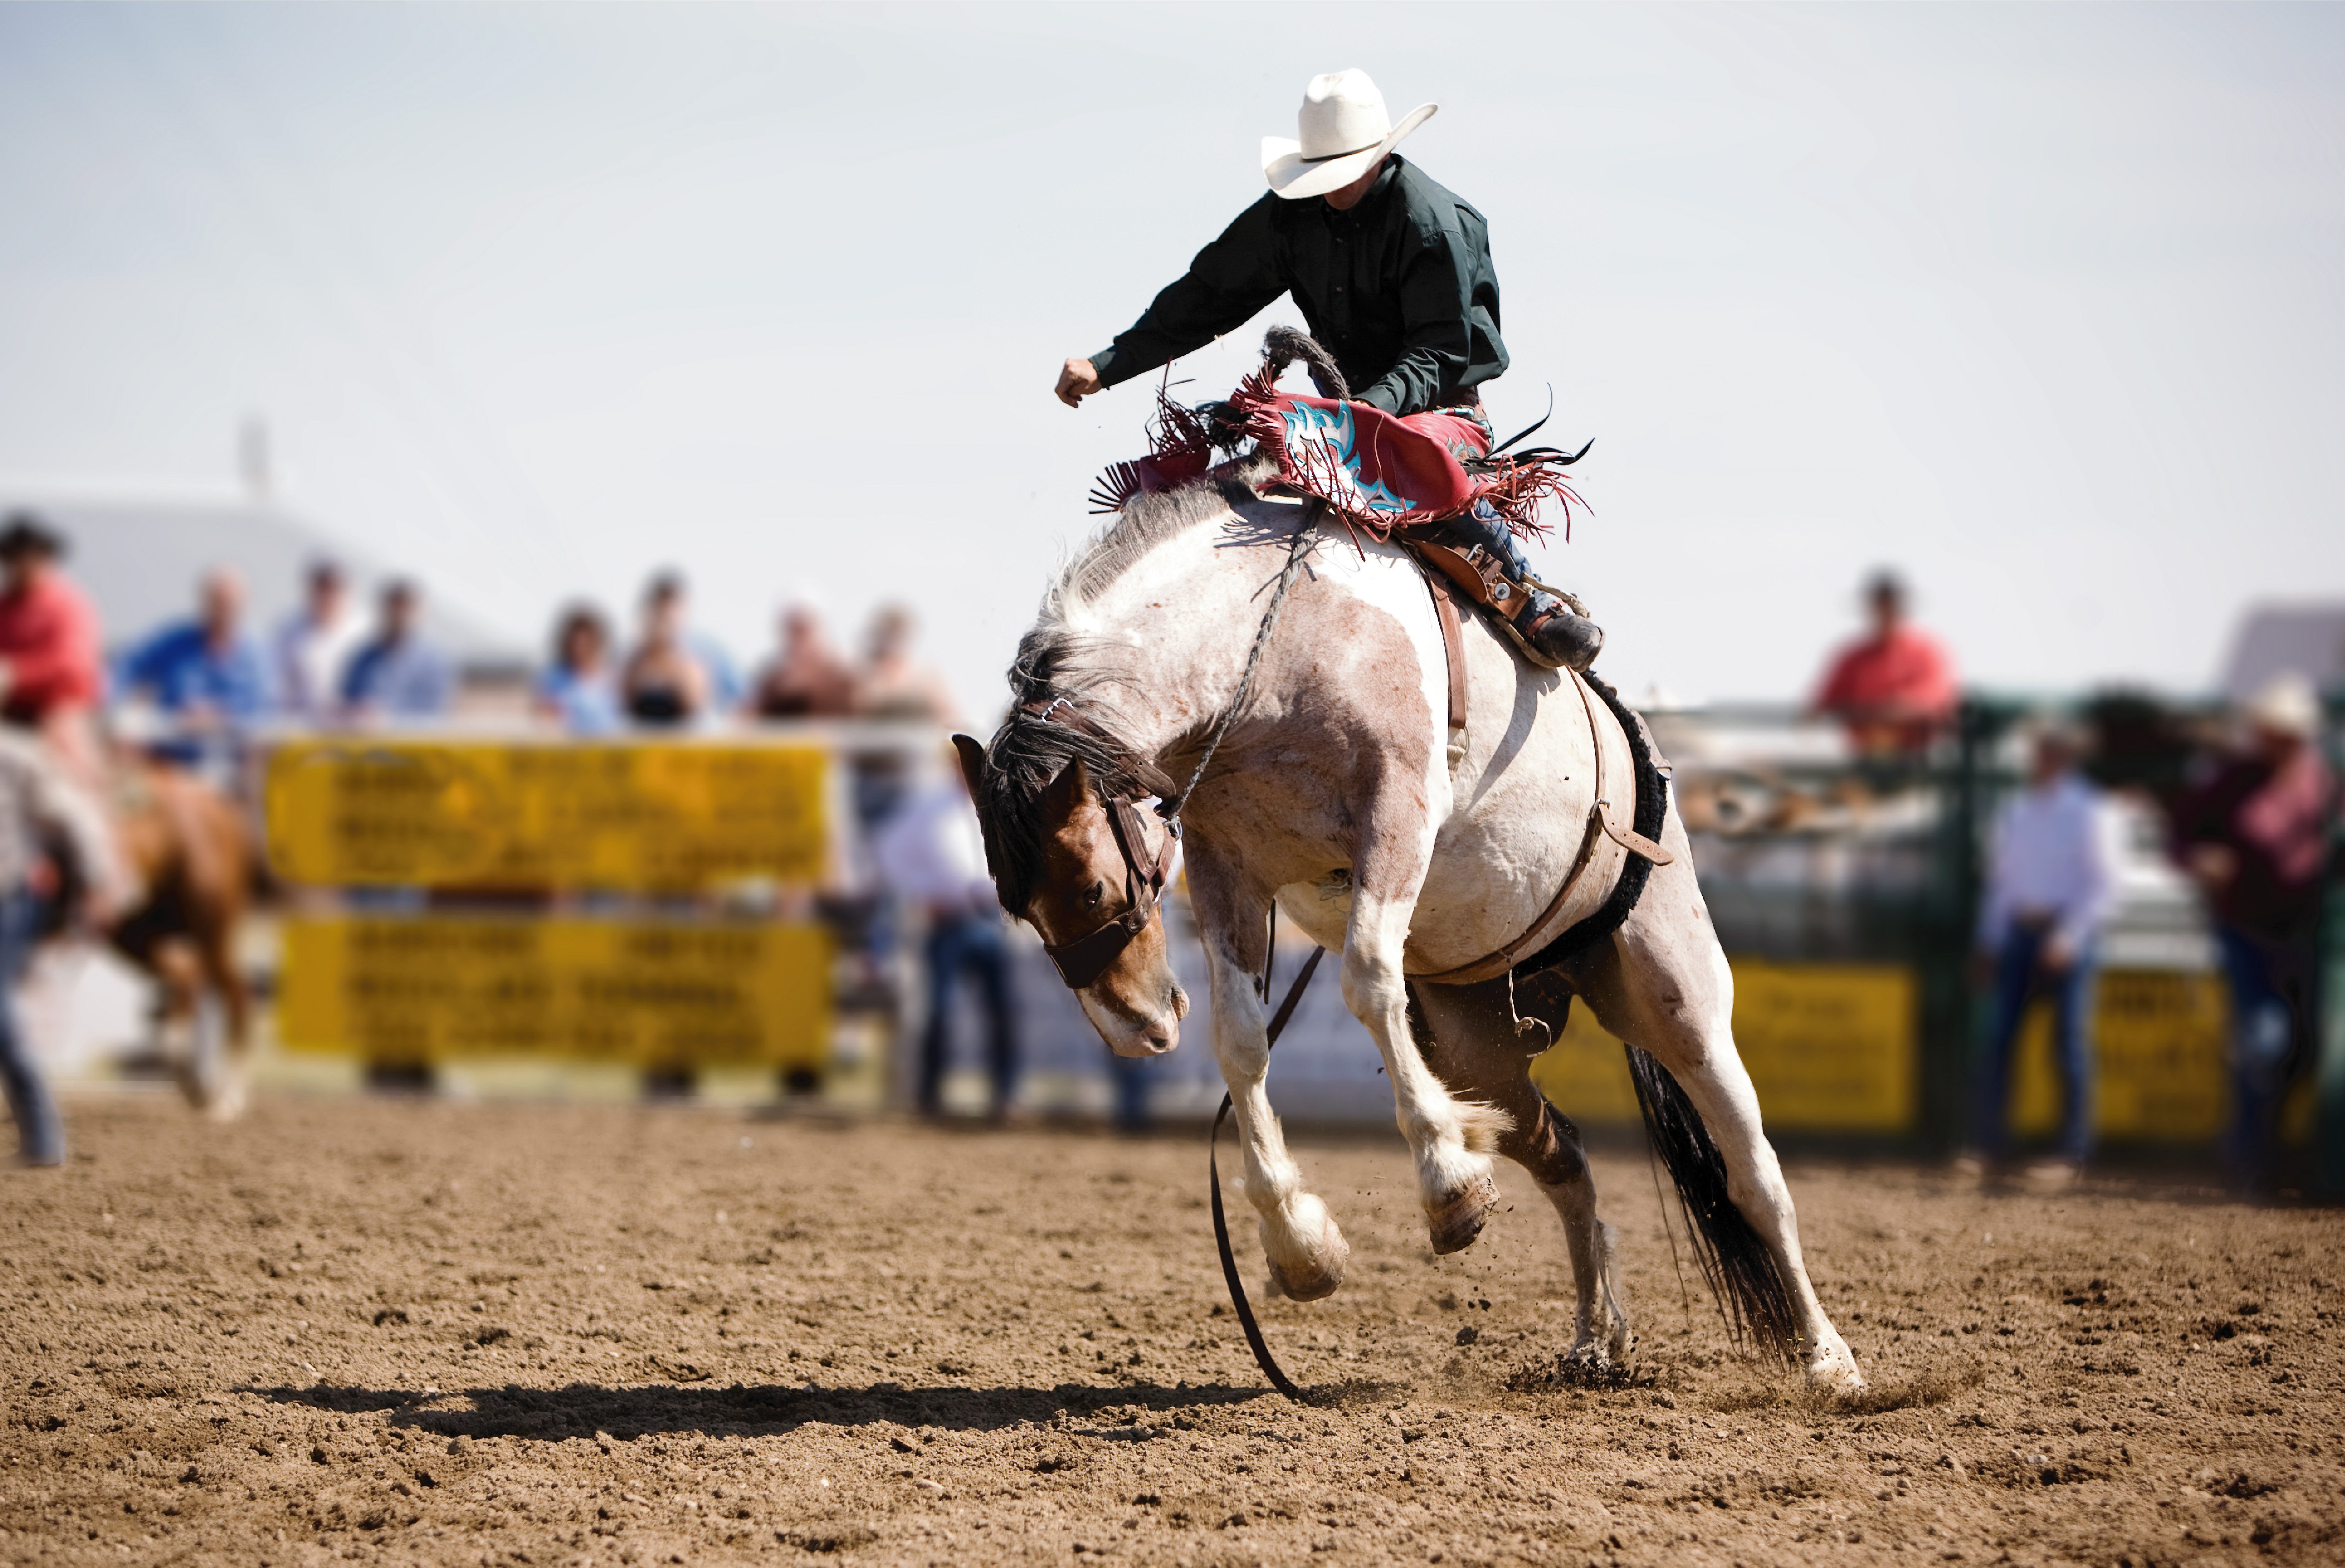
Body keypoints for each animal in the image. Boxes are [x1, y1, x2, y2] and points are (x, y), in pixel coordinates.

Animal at [956, 370, 1867, 1397]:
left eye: (1091, 890)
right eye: (1018, 906)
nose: (1134, 1029)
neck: (1270, 647)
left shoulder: (1396, 811)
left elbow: (1364, 978)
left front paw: (1447, 1185)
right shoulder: (1228, 864)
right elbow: (1239, 1040)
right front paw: (1300, 1245)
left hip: (1674, 992)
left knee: (1754, 1174)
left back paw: (1827, 1360)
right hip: (1479, 1037)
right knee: (1564, 1153)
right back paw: (1597, 1338)